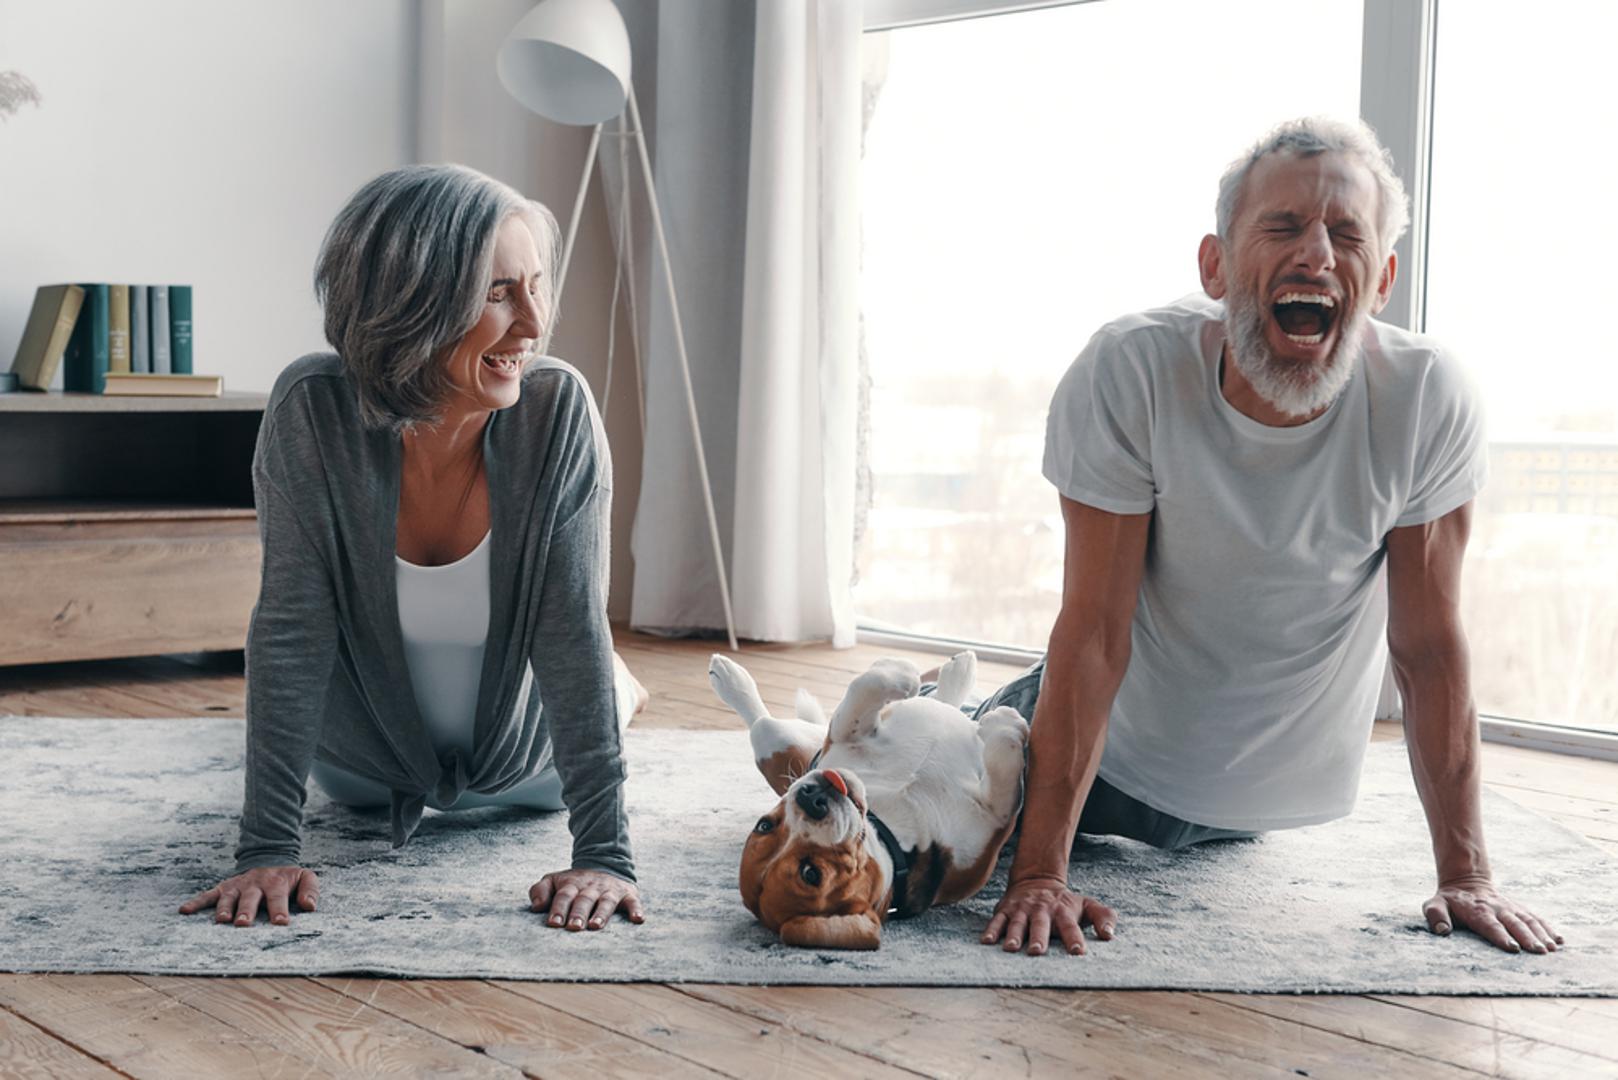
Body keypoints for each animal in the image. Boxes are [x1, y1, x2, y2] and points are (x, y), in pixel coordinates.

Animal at [705, 650, 1022, 945]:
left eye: (764, 824)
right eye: (810, 874)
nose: (811, 798)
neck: (895, 821)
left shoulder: (843, 738)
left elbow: (867, 686)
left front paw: (898, 670)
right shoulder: (991, 830)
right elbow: (1005, 783)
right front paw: (1004, 723)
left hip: (787, 739)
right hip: (771, 736)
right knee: (759, 720)